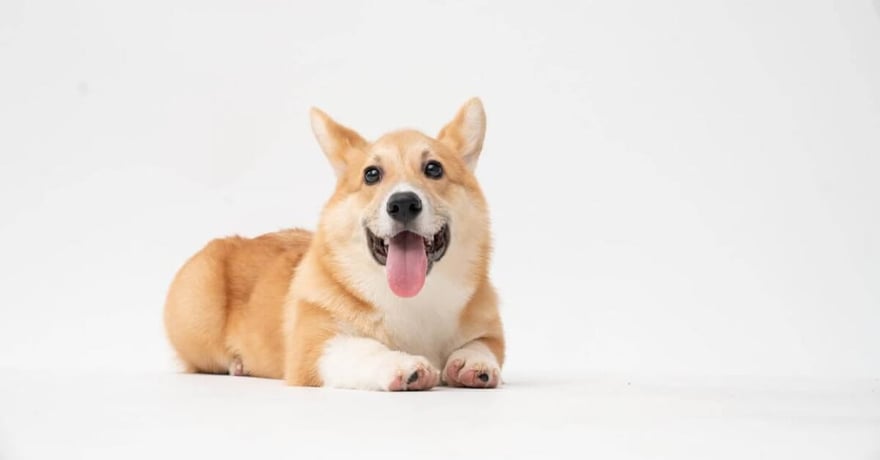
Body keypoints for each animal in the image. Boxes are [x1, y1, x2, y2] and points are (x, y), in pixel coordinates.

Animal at [165, 99, 506, 390]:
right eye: (371, 174)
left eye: (434, 169)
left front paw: (472, 363)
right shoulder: (316, 348)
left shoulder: (490, 332)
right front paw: (402, 364)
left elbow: (482, 345)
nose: (403, 204)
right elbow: (365, 348)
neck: (413, 300)